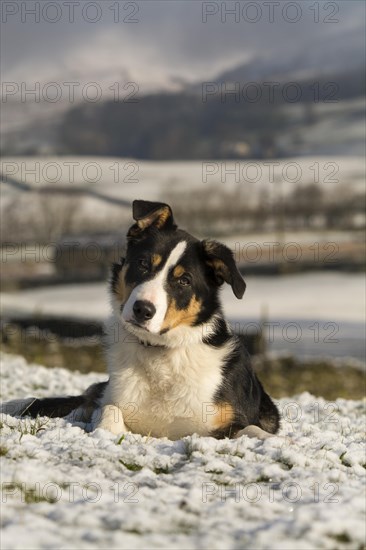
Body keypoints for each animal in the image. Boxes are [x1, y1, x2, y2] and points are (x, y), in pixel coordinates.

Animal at [0, 201, 280, 442]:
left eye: (184, 280)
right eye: (143, 263)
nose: (142, 309)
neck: (160, 353)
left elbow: (252, 428)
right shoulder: (112, 399)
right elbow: (109, 410)